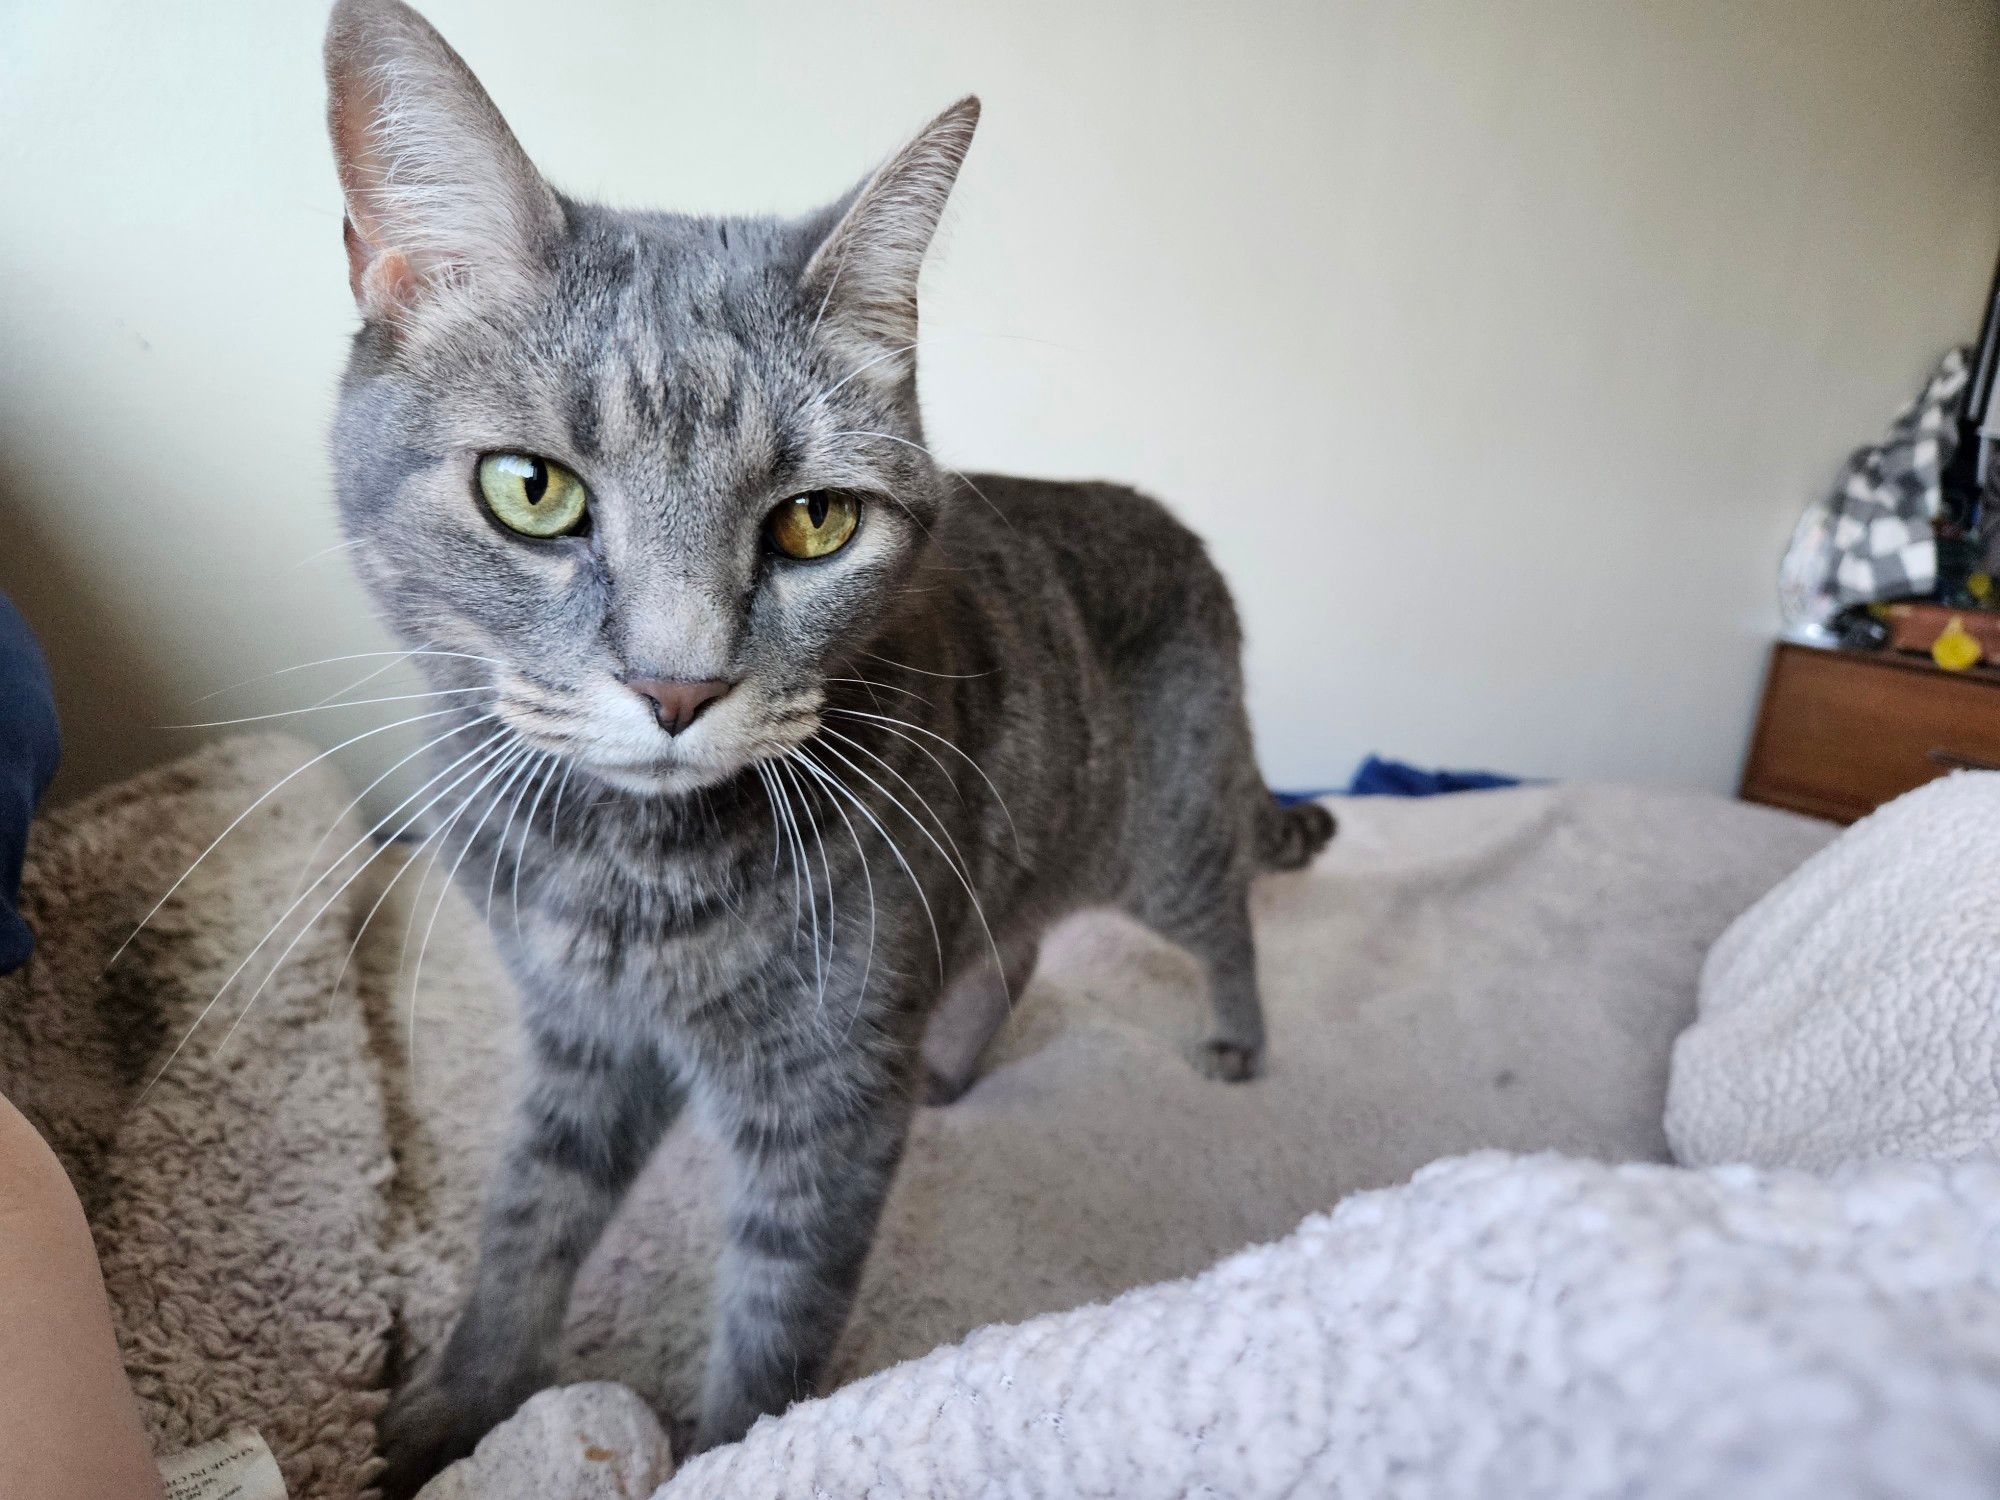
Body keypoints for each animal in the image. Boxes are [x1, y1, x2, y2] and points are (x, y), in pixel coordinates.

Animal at [320, 0, 1336, 1496]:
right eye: (532, 490)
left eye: (814, 522)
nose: (677, 685)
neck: (621, 871)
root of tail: (1180, 529)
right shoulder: (580, 1042)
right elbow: (525, 1231)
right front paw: (457, 1405)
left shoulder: (824, 1098)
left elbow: (775, 1325)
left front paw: (728, 1456)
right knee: (1013, 947)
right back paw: (956, 1065)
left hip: (1164, 837)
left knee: (1225, 918)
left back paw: (1235, 1036)